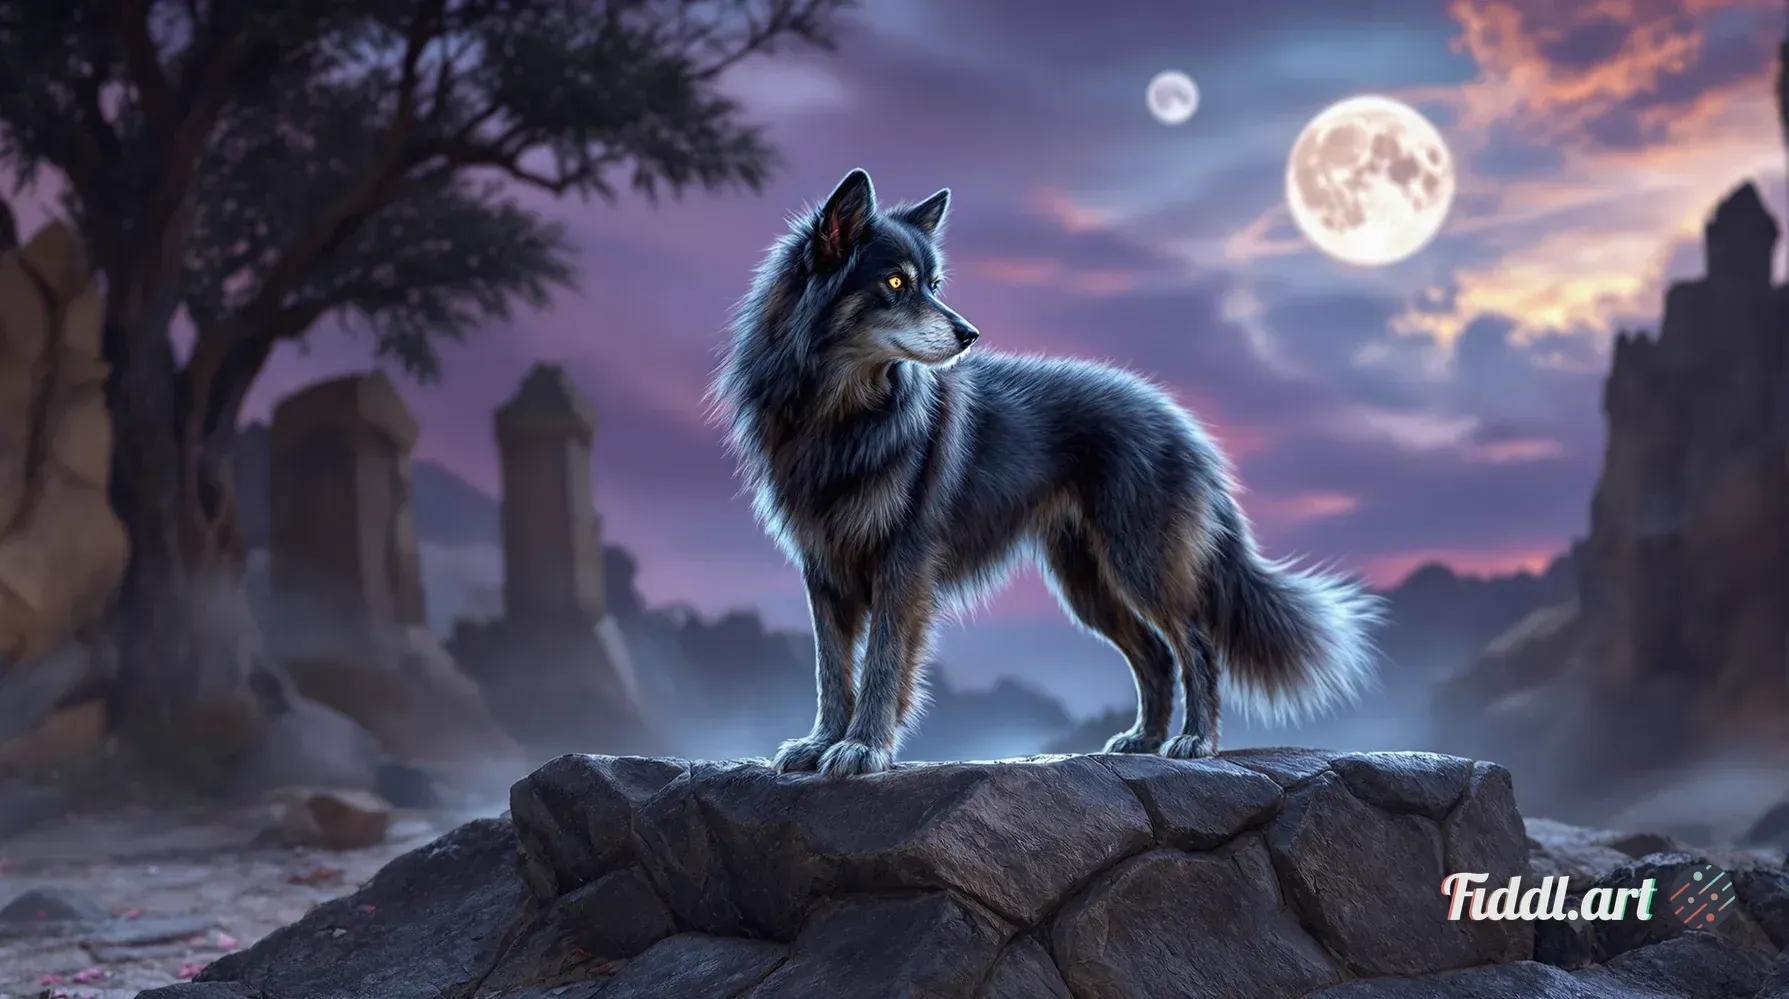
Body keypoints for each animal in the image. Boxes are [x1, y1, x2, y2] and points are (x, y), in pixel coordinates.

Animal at [711, 168, 1383, 778]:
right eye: (895, 283)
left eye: (934, 283)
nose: (969, 334)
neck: (840, 416)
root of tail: (1181, 422)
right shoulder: (822, 566)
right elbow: (831, 670)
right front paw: (821, 743)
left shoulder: (903, 565)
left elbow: (882, 662)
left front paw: (862, 748)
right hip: (1087, 582)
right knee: (1157, 656)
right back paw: (1142, 740)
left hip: (1140, 565)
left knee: (1197, 646)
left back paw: (1194, 741)